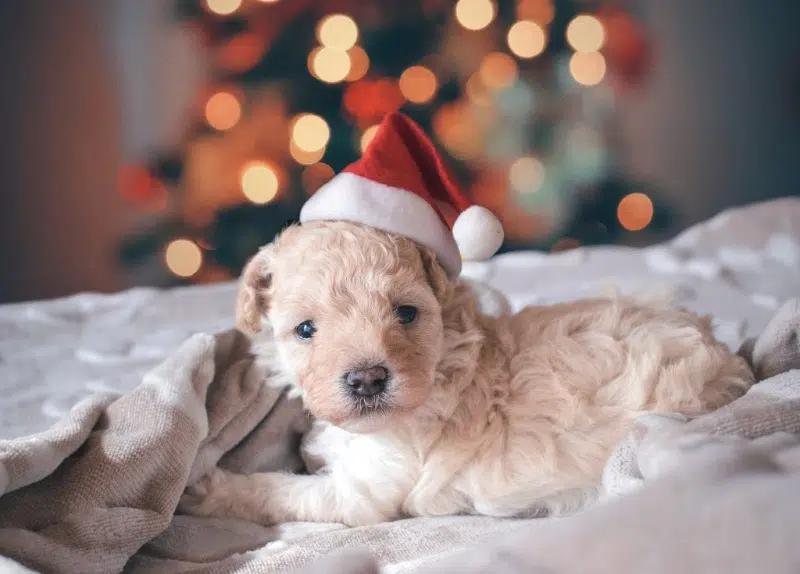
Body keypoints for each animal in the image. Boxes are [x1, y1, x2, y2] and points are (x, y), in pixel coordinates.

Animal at [178, 223, 752, 528]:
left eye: (406, 313)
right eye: (305, 329)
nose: (367, 379)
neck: (441, 365)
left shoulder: (362, 495)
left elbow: (281, 490)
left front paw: (208, 487)